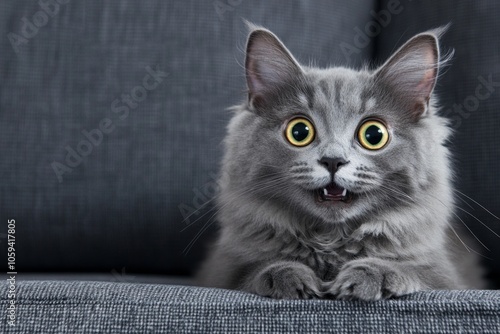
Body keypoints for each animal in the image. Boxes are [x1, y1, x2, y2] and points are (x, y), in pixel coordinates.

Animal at [197, 26, 486, 300]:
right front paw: (287, 275)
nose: (333, 160)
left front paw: (369, 276)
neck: (330, 242)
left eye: (374, 135)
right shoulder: (219, 269)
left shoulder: (449, 276)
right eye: (299, 132)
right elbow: (252, 269)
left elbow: (415, 270)